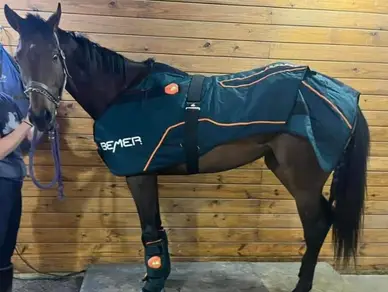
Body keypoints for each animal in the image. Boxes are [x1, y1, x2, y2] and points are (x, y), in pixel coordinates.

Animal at [3, 2, 370, 292]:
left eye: (55, 55)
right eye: (18, 57)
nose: (39, 117)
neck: (126, 92)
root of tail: (344, 97)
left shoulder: (138, 175)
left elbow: (149, 229)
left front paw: (153, 282)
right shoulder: (147, 173)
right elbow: (157, 228)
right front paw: (158, 275)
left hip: (302, 180)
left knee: (317, 225)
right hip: (284, 169)